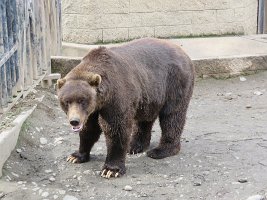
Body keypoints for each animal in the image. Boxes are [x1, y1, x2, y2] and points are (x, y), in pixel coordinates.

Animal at [57, 37, 195, 178]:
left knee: (172, 116)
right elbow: (89, 128)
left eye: (82, 100)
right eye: (66, 101)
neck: (102, 98)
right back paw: (134, 146)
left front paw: (111, 169)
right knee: (143, 120)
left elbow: (117, 128)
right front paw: (76, 156)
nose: (74, 121)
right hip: (148, 93)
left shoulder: (115, 97)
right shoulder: (92, 110)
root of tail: (183, 52)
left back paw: (161, 150)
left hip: (174, 82)